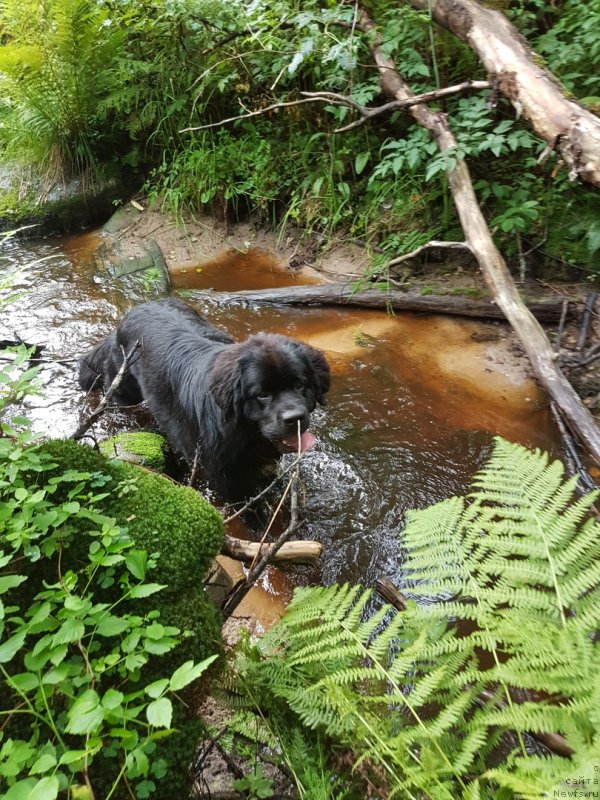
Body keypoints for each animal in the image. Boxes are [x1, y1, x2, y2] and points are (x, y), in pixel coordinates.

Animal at [77, 296, 330, 504]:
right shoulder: (229, 484)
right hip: (124, 390)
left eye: (300, 385)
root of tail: (132, 312)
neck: (243, 433)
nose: (295, 418)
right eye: (262, 394)